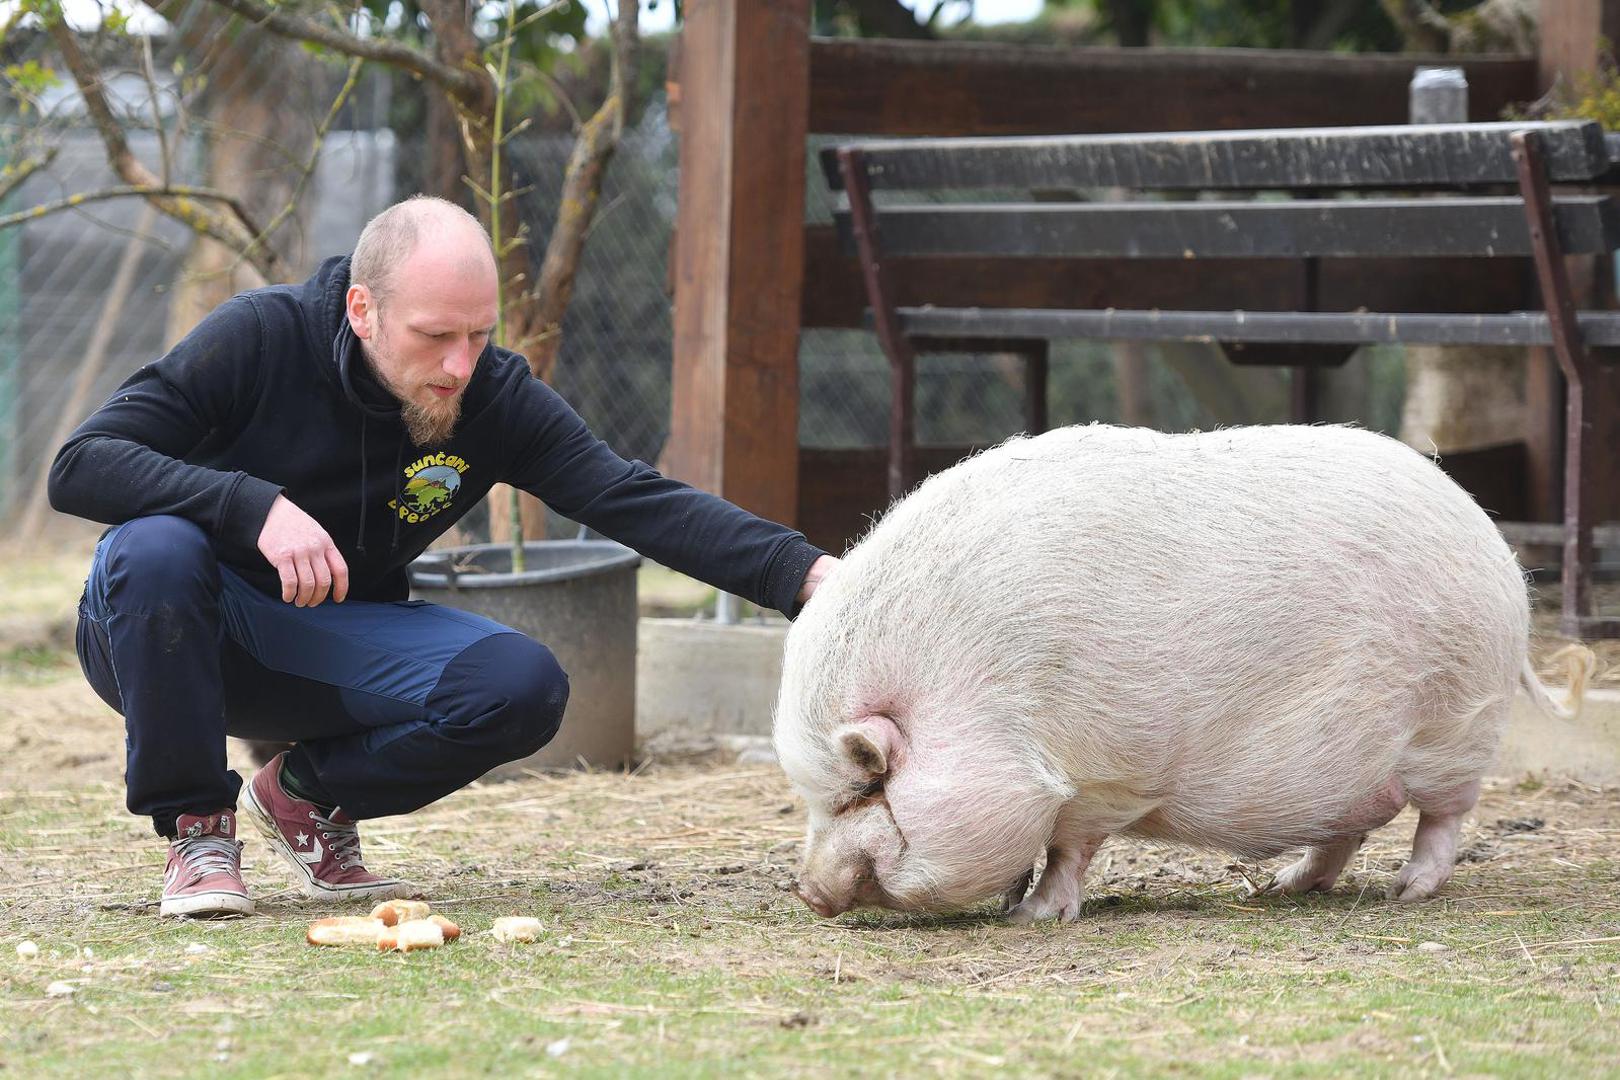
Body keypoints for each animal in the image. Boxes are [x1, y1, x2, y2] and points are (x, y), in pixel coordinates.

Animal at [777, 427, 1587, 926]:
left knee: (1443, 815)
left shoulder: (1107, 772)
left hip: (1458, 721)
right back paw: (1290, 887)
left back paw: (1406, 893)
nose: (808, 891)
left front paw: (1036, 915)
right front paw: (1016, 905)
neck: (986, 702)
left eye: (865, 787)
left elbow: (1070, 848)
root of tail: (1493, 539)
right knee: (1350, 826)